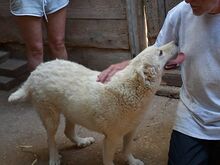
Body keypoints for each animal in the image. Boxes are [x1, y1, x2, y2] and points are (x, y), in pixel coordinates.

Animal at [8, 41, 178, 165]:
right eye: (160, 52)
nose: (176, 42)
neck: (132, 89)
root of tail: (36, 71)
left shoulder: (131, 130)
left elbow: (127, 150)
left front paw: (133, 162)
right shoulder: (111, 139)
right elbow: (109, 161)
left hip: (71, 111)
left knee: (68, 132)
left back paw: (81, 141)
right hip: (51, 118)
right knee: (50, 138)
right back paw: (54, 158)